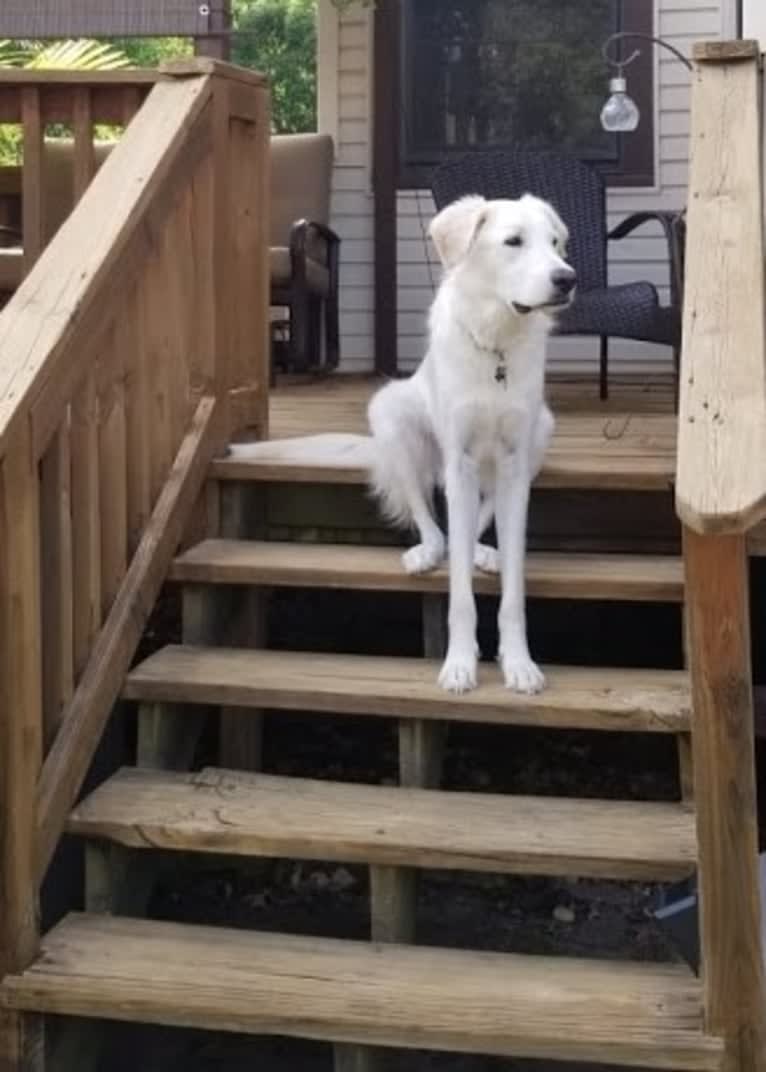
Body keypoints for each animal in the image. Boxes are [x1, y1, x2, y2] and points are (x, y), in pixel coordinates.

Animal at [366, 192, 574, 694]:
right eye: (514, 241)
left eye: (554, 243)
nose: (567, 278)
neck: (496, 338)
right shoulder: (457, 462)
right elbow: (460, 594)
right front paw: (460, 663)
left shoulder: (516, 460)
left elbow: (514, 591)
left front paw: (518, 663)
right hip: (390, 413)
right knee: (431, 520)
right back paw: (428, 550)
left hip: (542, 429)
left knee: (481, 516)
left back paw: (483, 551)